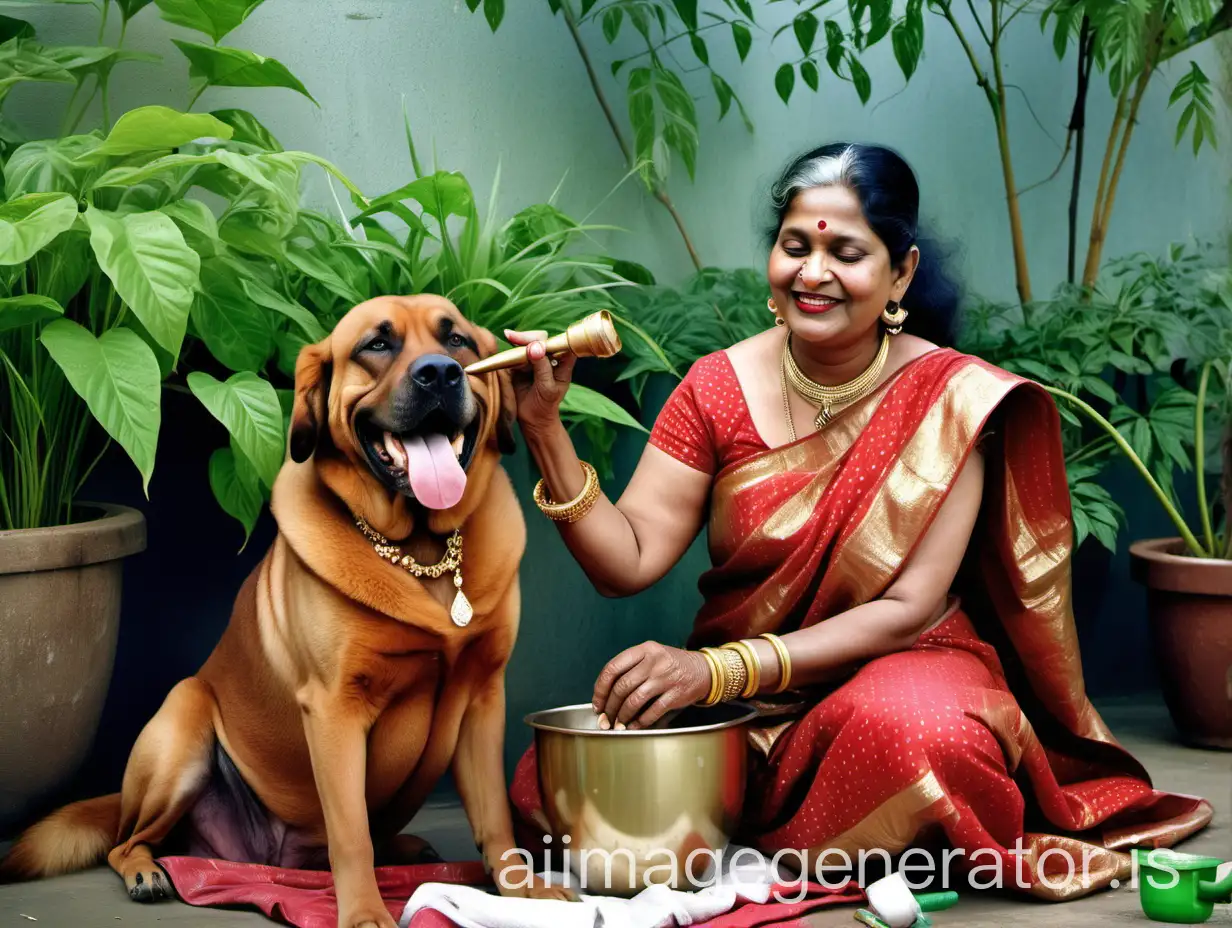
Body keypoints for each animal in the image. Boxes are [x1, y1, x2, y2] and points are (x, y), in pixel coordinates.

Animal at [1, 294, 564, 921]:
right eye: (376, 344)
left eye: (458, 340)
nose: (439, 373)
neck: (421, 551)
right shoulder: (335, 708)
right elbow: (350, 831)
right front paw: (364, 912)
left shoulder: (483, 697)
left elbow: (493, 817)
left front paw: (523, 889)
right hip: (184, 719)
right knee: (126, 840)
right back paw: (147, 870)